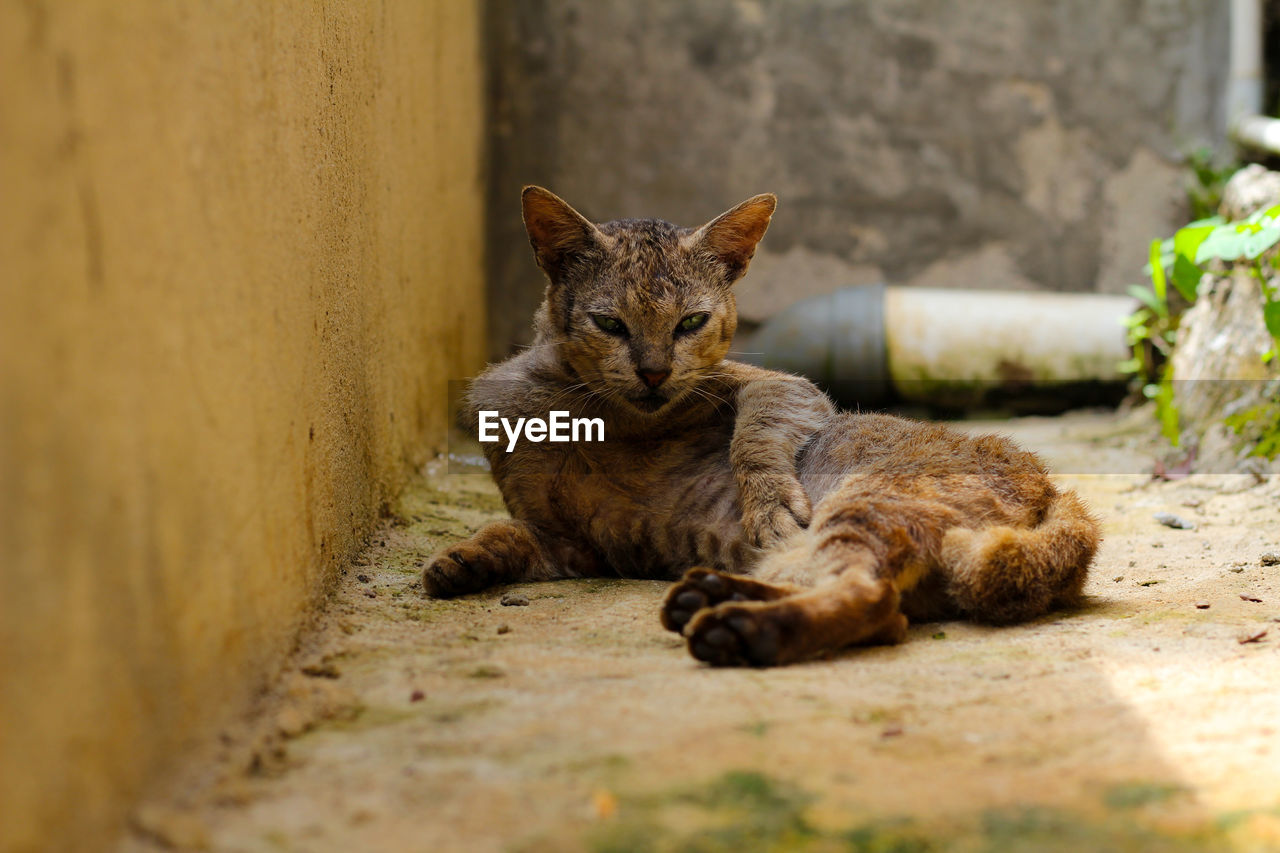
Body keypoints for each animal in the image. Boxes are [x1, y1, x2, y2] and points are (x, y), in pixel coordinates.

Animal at [424, 184, 1105, 666]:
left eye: (691, 322)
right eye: (610, 323)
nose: (654, 372)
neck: (600, 417)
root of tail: (1058, 494)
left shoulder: (782, 386)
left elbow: (756, 431)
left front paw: (769, 501)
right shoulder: (570, 543)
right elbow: (505, 532)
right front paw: (461, 561)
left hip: (868, 502)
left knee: (873, 600)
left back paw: (741, 629)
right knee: (878, 608)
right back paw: (712, 597)